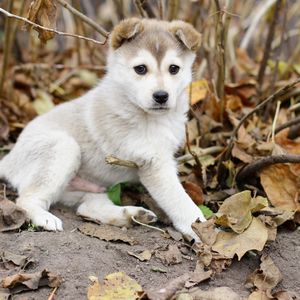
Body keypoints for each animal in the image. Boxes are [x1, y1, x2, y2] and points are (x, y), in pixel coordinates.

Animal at [0, 18, 206, 239]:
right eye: (140, 69)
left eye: (174, 69)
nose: (161, 96)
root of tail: (9, 157)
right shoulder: (154, 163)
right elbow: (180, 201)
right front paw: (199, 227)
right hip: (63, 148)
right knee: (26, 199)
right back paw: (44, 219)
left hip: (88, 189)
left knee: (87, 208)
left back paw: (133, 216)